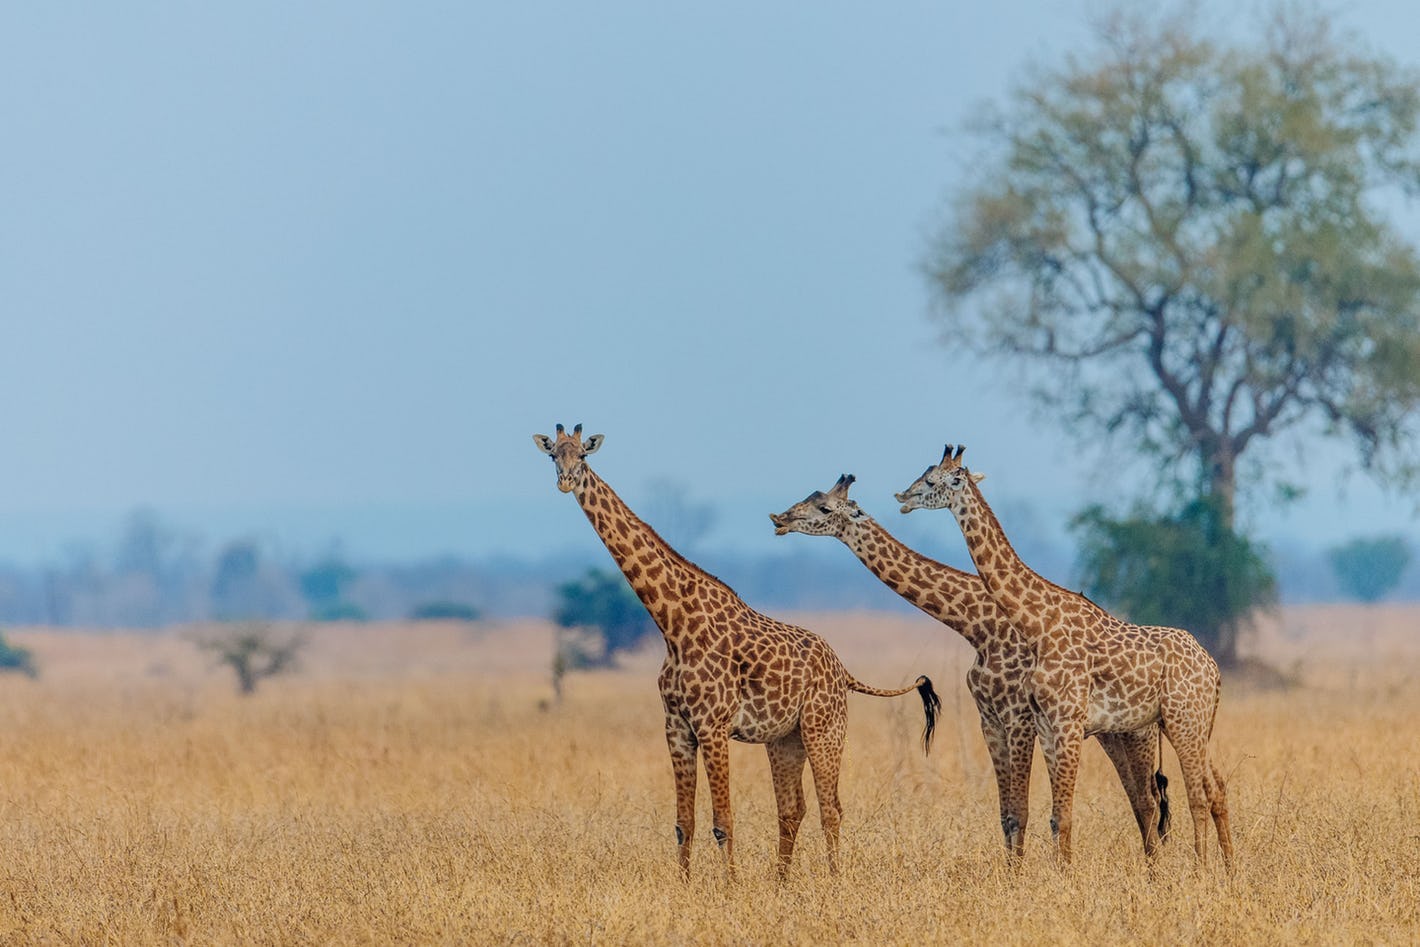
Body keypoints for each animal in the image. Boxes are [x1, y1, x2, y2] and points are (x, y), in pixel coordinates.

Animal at [533, 423, 942, 880]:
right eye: (553, 455)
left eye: (583, 456)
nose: (566, 480)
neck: (673, 624)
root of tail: (843, 670)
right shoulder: (676, 727)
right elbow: (684, 822)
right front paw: (684, 886)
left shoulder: (712, 725)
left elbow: (722, 821)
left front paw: (730, 886)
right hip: (784, 738)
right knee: (792, 808)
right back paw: (780, 884)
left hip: (825, 728)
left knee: (831, 807)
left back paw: (835, 881)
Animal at [772, 474, 1170, 857]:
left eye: (824, 508)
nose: (780, 519)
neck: (977, 626)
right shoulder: (989, 717)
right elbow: (1007, 814)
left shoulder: (1018, 716)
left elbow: (1020, 811)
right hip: (1112, 733)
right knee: (1142, 799)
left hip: (1138, 733)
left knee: (1148, 801)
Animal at [897, 442, 1232, 868]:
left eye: (932, 481)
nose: (902, 498)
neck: (1038, 623)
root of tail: (1212, 668)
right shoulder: (1045, 724)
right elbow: (1054, 815)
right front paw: (1058, 873)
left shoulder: (1067, 721)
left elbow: (1064, 815)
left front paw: (1065, 876)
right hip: (1196, 723)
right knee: (1213, 787)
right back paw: (1229, 869)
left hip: (1181, 720)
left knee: (1195, 795)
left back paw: (1202, 869)